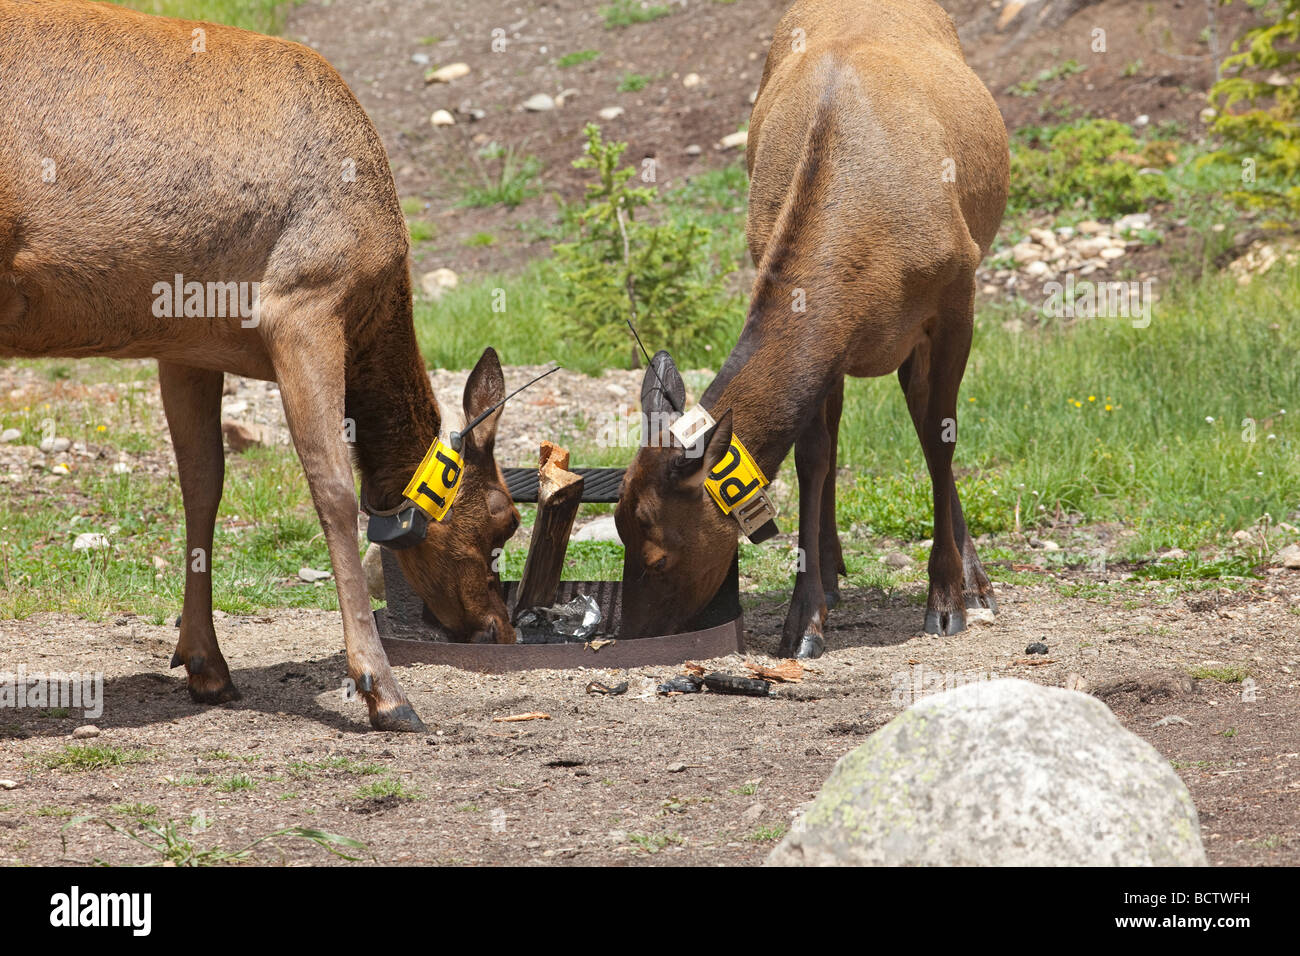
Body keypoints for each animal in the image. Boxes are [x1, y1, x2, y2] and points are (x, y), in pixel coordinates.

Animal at [0, 0, 522, 731]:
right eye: (504, 517)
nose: (502, 627)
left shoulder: (185, 344)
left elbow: (203, 484)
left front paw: (206, 666)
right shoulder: (305, 303)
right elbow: (334, 491)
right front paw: (385, 692)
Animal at [614, 0, 1009, 658]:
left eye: (658, 551)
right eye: (617, 526)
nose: (630, 635)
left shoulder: (958, 296)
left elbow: (941, 438)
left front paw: (949, 598)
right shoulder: (834, 343)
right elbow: (813, 458)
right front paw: (806, 619)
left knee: (922, 415)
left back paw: (974, 580)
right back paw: (833, 568)